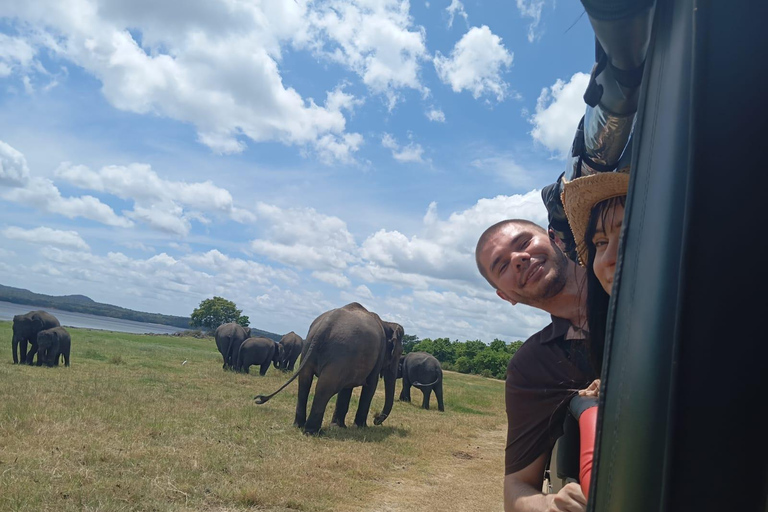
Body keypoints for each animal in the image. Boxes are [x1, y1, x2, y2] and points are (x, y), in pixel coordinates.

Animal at [255, 302, 404, 434]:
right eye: (399, 353)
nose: (376, 418)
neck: (386, 323)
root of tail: (326, 324)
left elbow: (346, 388)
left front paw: (339, 427)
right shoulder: (378, 354)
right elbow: (371, 385)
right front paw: (361, 427)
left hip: (310, 348)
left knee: (304, 383)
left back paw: (299, 425)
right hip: (340, 353)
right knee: (325, 387)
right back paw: (313, 432)